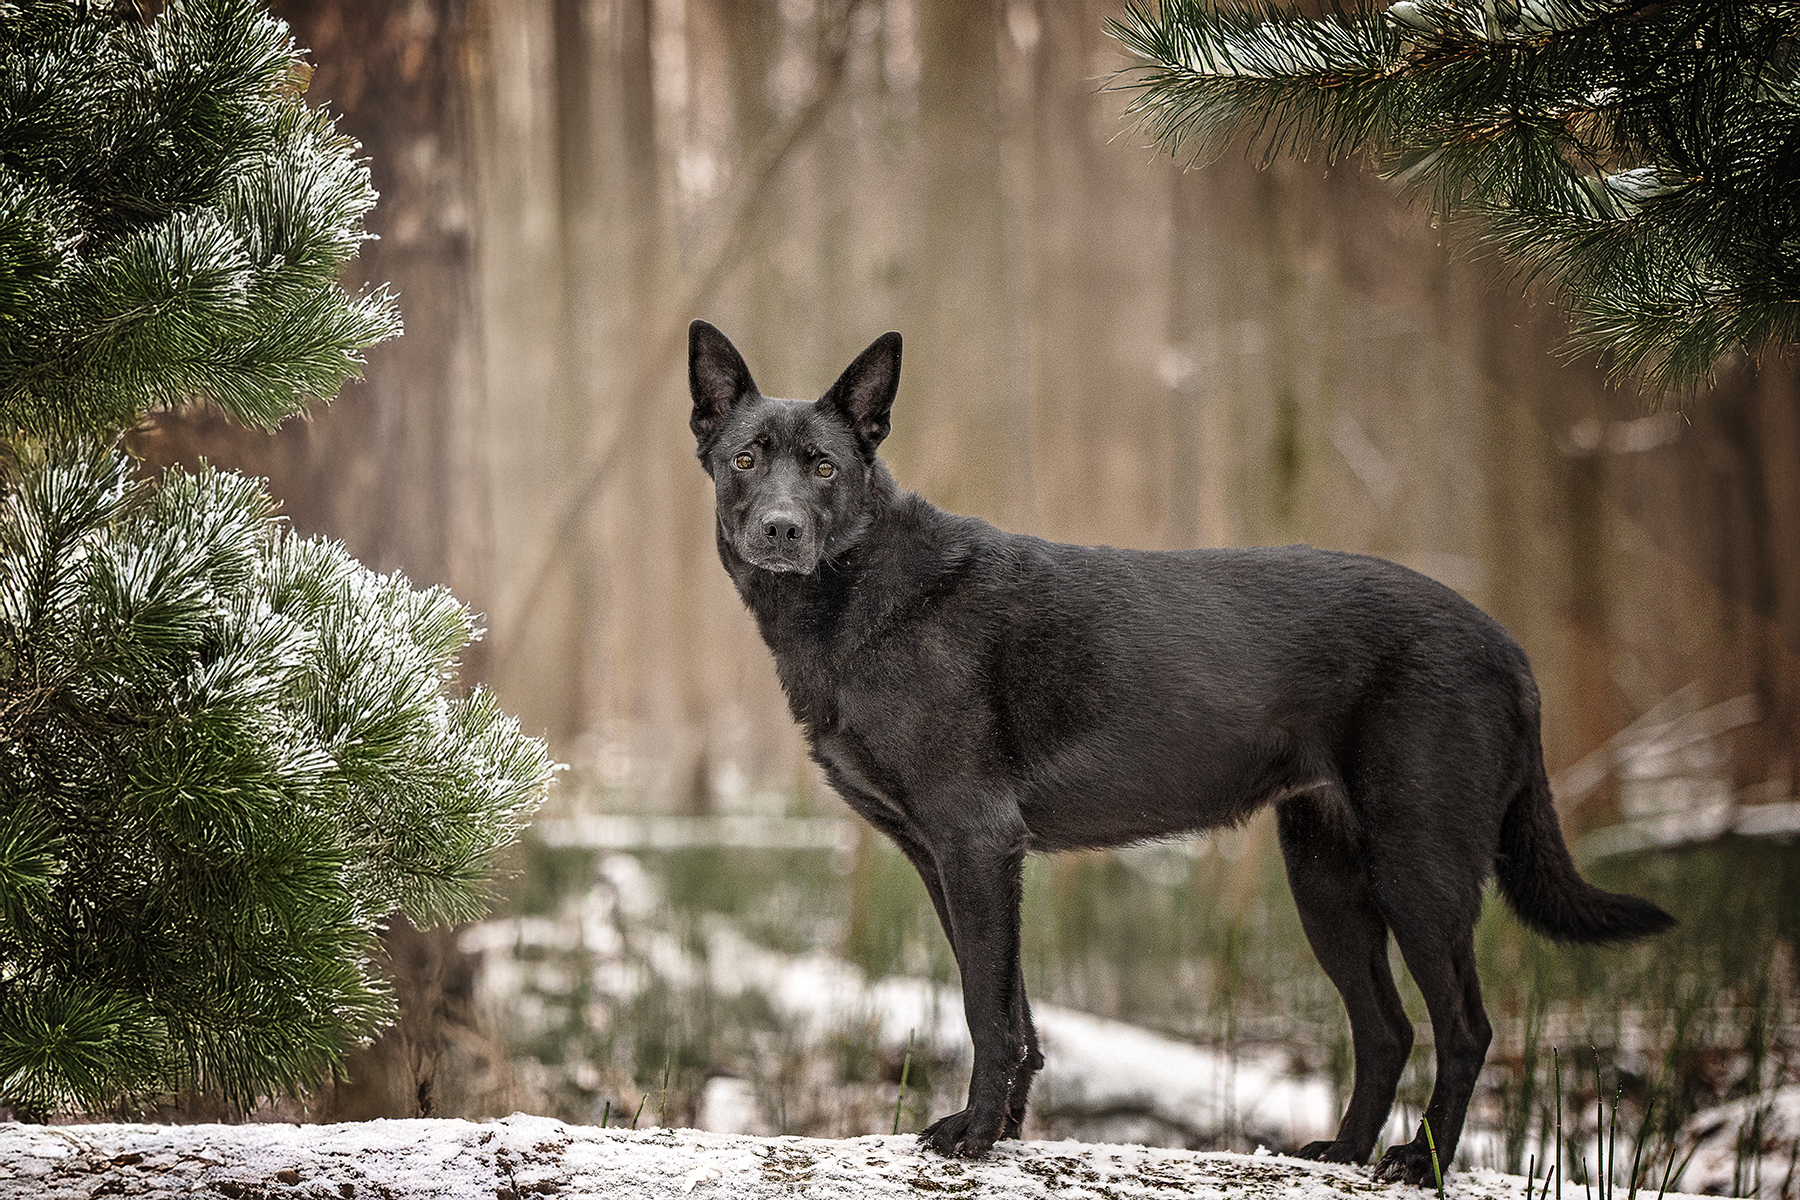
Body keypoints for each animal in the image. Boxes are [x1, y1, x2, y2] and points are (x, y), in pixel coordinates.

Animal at [687, 318, 1670, 1180]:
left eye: (824, 466)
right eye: (745, 459)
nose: (780, 529)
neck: (860, 593)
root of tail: (1508, 647)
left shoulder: (976, 843)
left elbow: (986, 1010)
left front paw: (974, 1136)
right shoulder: (950, 859)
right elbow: (1014, 1008)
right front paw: (1006, 1133)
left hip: (1419, 870)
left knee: (1466, 1029)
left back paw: (1416, 1163)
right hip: (1326, 878)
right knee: (1385, 1027)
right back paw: (1343, 1153)